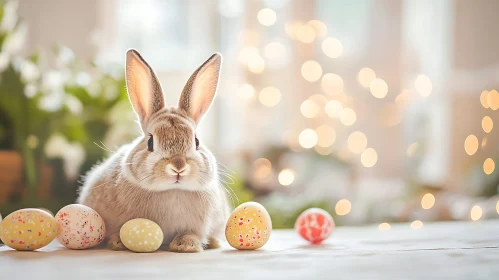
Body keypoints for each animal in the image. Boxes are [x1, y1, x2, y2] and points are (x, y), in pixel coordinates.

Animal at [77, 49, 230, 253]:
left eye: (196, 142)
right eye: (150, 142)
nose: (178, 166)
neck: (172, 190)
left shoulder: (198, 226)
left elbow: (192, 233)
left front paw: (185, 246)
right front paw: (118, 243)